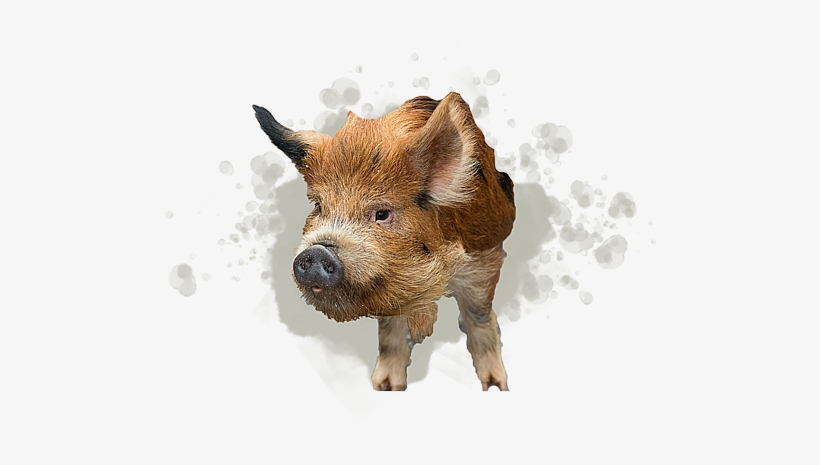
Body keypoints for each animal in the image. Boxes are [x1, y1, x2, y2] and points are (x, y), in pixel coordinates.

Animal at [253, 92, 515, 390]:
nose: (318, 252)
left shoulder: (484, 257)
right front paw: (385, 386)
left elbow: (478, 316)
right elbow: (389, 330)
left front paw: (495, 386)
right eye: (319, 206)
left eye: (382, 213)